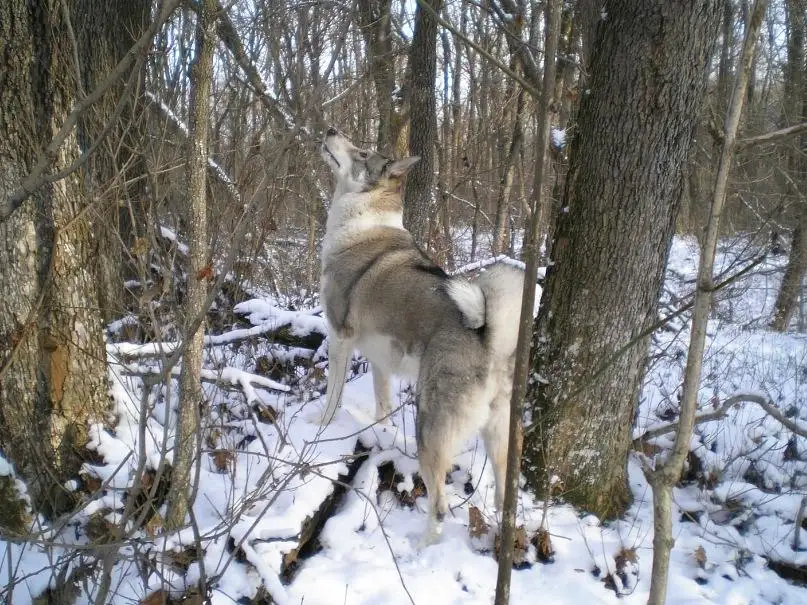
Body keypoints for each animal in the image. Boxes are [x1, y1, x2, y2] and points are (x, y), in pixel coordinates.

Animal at [318, 127, 528, 544]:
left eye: (361, 152)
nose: (331, 129)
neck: (362, 221)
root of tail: (489, 340)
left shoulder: (340, 336)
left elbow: (332, 396)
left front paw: (321, 430)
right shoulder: (380, 361)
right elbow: (382, 407)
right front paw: (380, 434)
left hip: (429, 427)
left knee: (440, 504)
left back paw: (423, 545)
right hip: (499, 435)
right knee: (502, 494)